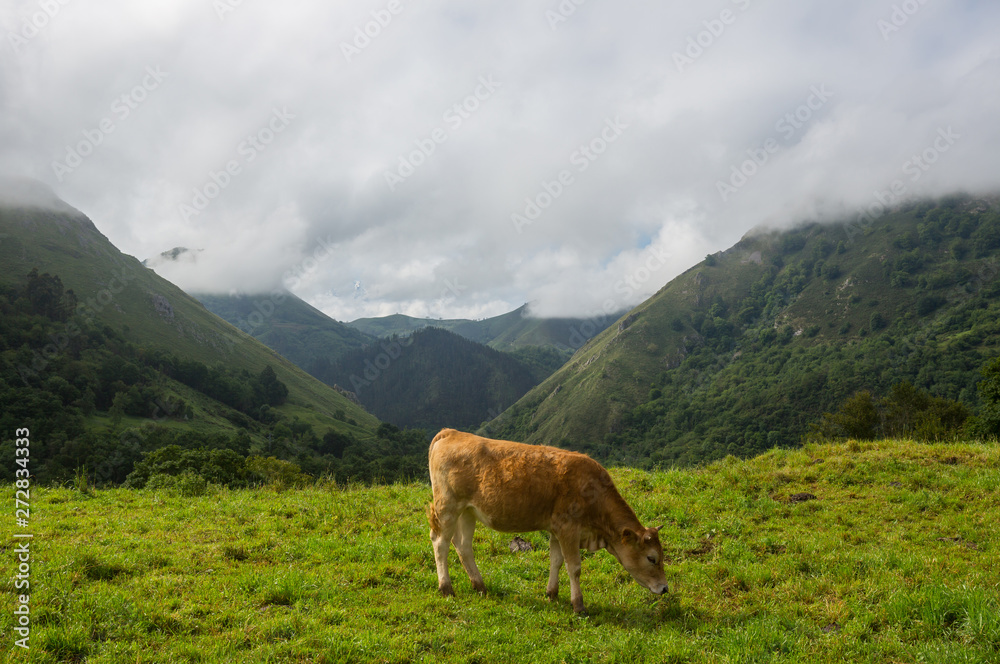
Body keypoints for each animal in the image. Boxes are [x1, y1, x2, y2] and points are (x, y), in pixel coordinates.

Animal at [426, 428, 668, 616]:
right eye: (652, 558)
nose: (665, 588)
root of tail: (451, 432)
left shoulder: (557, 529)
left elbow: (556, 561)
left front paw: (552, 594)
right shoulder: (569, 529)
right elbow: (574, 567)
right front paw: (578, 605)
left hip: (468, 511)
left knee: (463, 546)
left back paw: (480, 586)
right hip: (447, 506)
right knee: (440, 543)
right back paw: (446, 588)